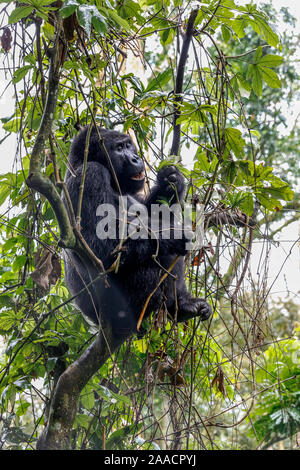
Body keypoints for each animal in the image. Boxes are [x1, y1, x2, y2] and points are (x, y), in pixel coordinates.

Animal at [62, 125, 212, 338]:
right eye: (118, 148)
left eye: (128, 145)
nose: (135, 158)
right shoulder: (90, 175)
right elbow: (101, 246)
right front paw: (171, 236)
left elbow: (156, 210)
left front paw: (171, 181)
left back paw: (182, 304)